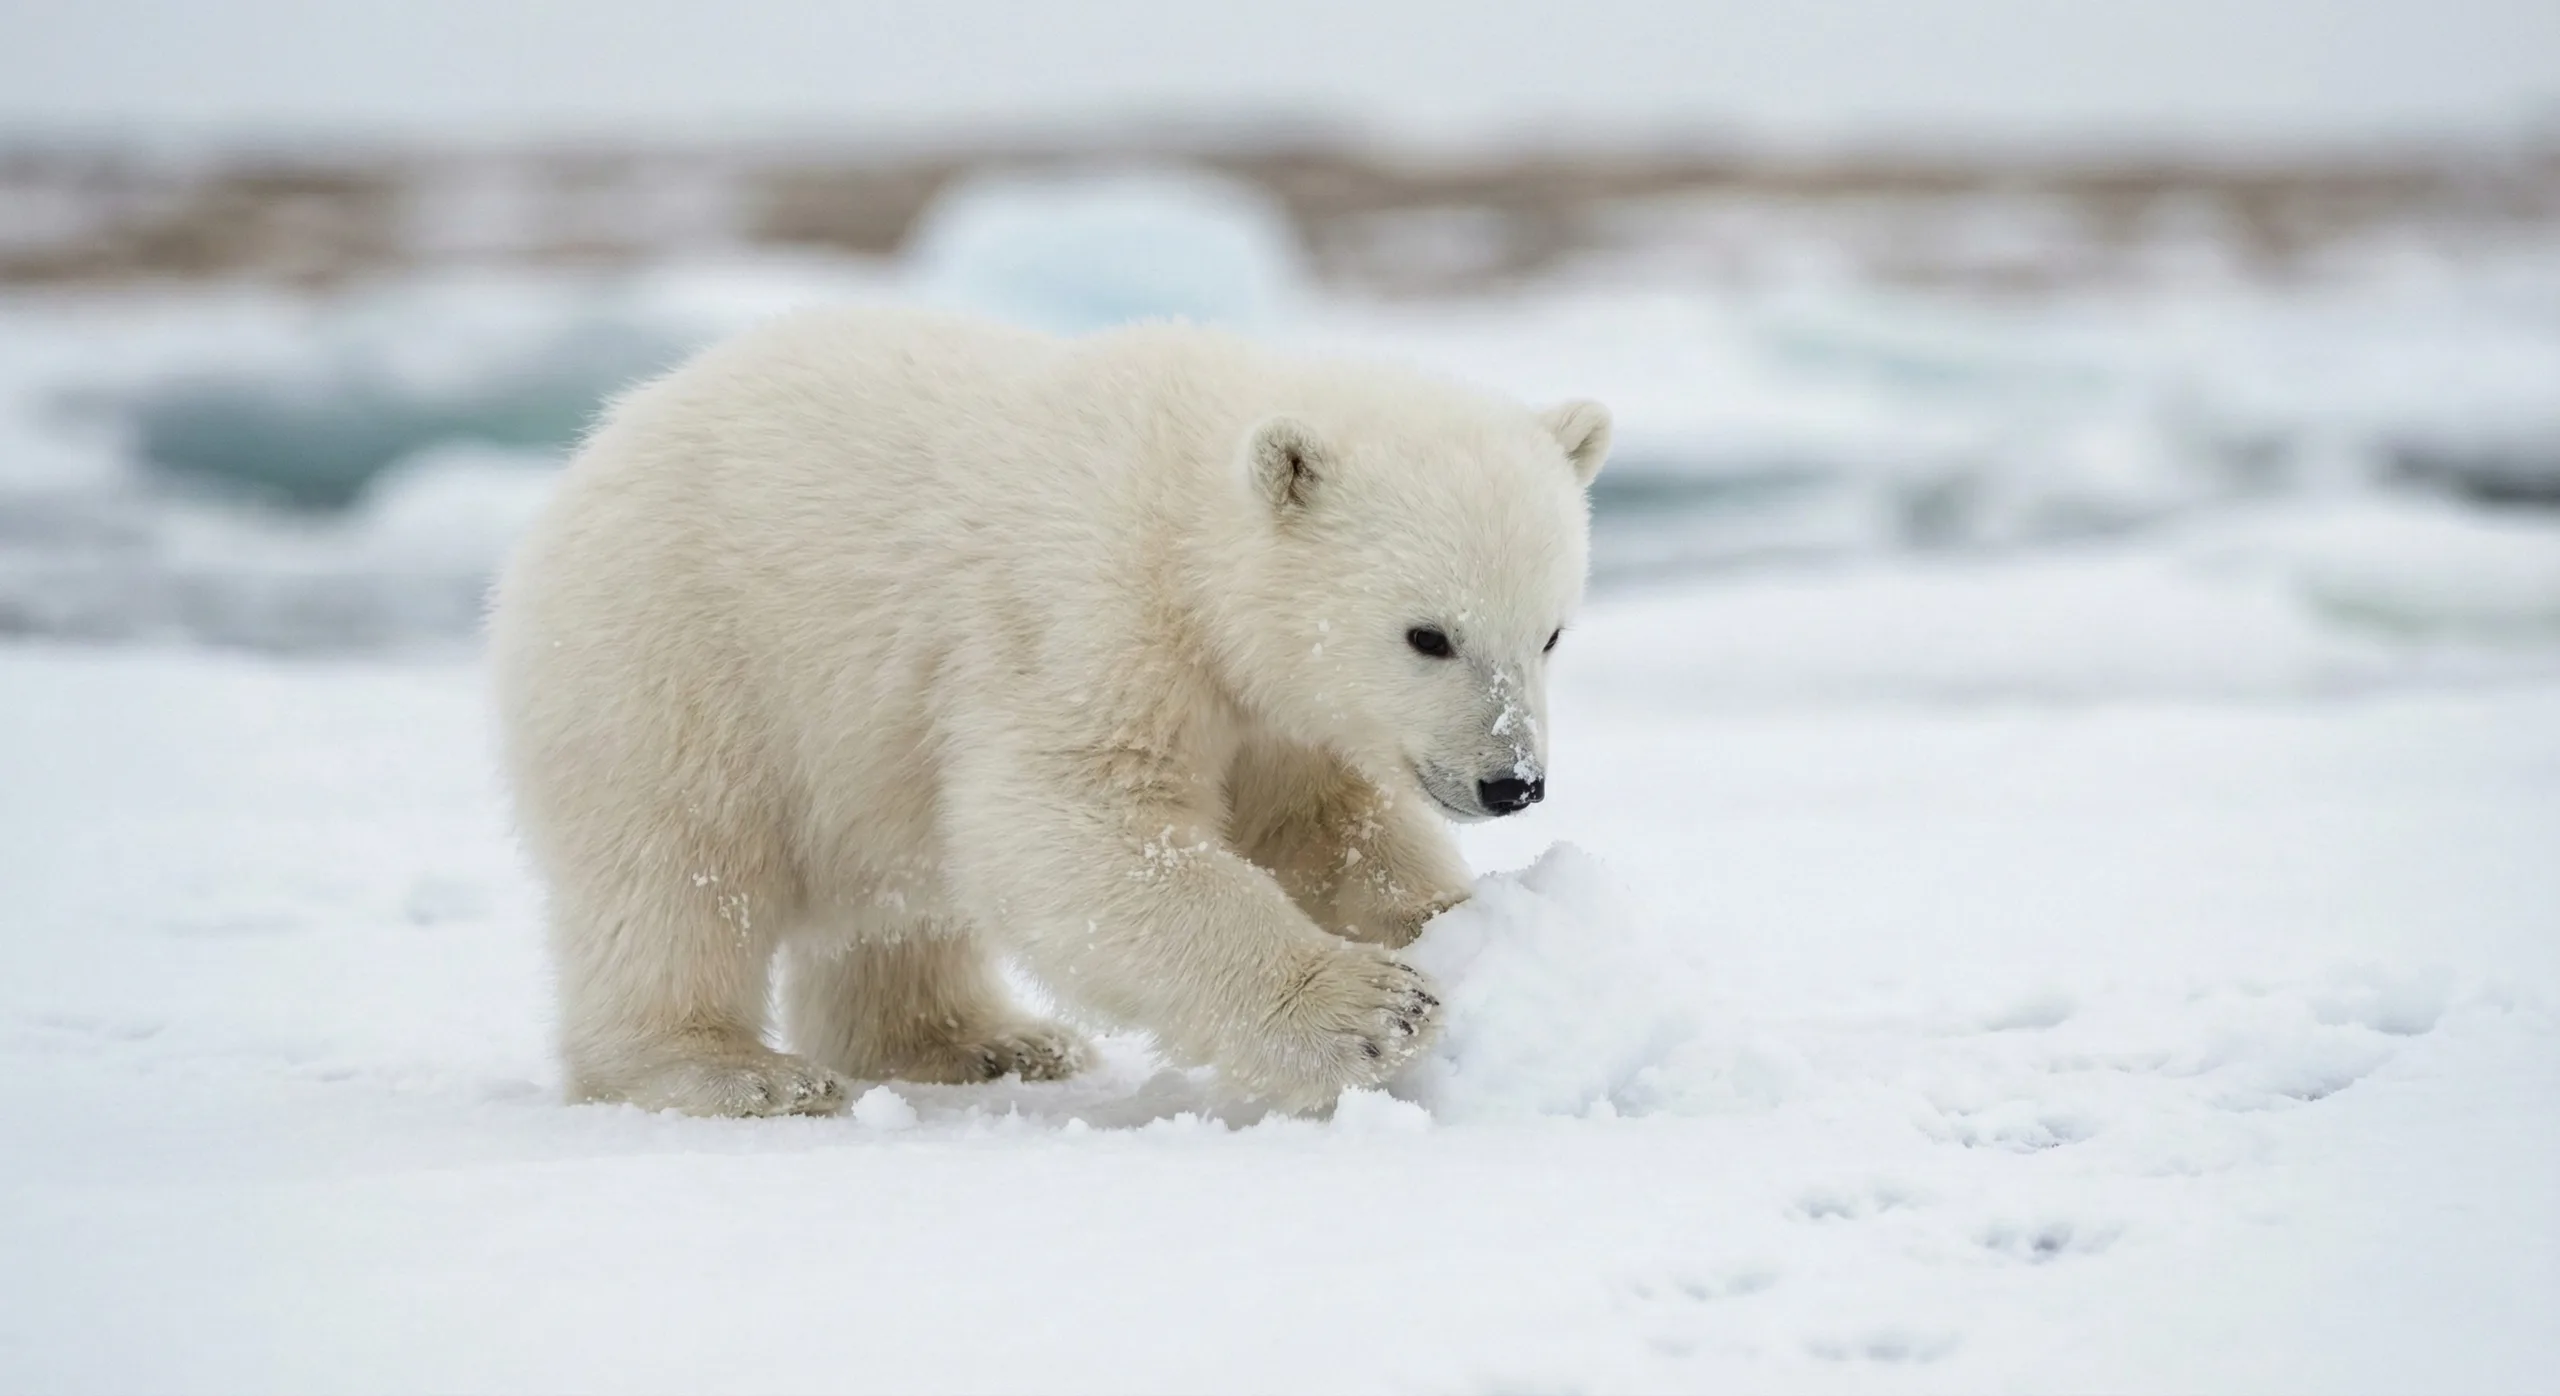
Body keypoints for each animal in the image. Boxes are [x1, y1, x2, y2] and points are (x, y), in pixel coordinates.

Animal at [488, 306, 1609, 1116]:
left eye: (1551, 632)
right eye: (1428, 635)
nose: (1512, 782)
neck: (1183, 515)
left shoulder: (1267, 709)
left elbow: (1327, 824)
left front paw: (1464, 921)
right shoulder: (1086, 618)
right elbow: (1071, 826)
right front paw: (1372, 1010)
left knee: (888, 904)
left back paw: (986, 1041)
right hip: (677, 658)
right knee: (678, 871)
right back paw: (733, 1070)